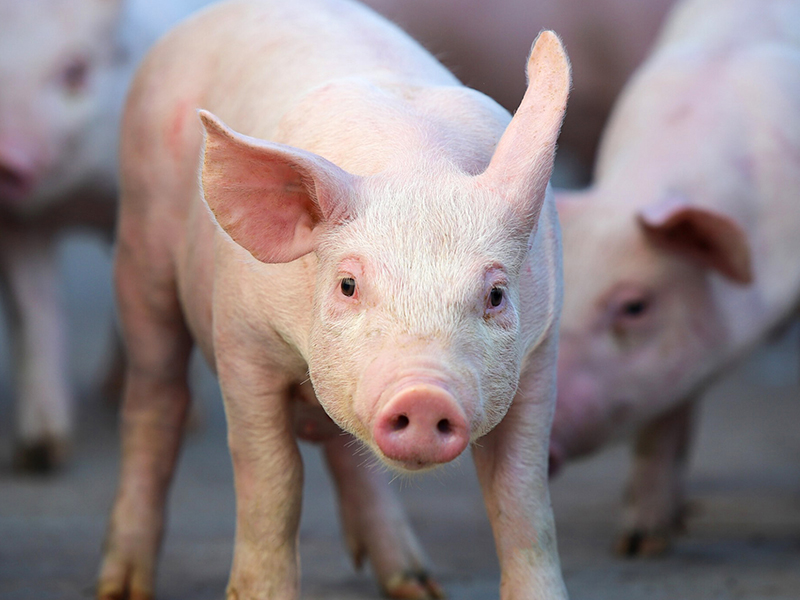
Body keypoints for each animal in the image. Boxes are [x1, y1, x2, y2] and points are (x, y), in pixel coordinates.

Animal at [0, 0, 211, 472]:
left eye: (75, 69)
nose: (7, 156)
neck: (76, 201)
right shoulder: (19, 223)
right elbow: (34, 312)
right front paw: (41, 455)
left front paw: (189, 422)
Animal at [95, 0, 571, 598]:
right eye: (348, 285)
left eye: (496, 294)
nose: (424, 397)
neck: (414, 165)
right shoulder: (241, 341)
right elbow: (272, 482)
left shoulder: (542, 350)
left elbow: (522, 500)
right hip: (139, 254)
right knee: (156, 402)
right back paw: (120, 586)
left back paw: (415, 583)